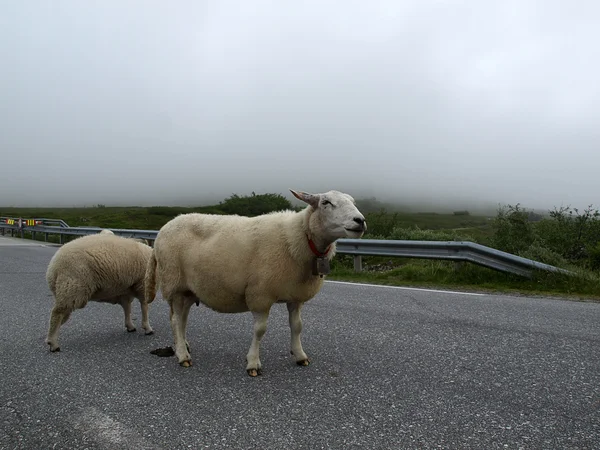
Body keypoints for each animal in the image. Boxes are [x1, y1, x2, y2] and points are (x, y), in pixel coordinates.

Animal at [145, 189, 366, 376]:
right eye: (325, 203)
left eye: (353, 202)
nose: (360, 221)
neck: (299, 238)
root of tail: (164, 229)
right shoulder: (260, 294)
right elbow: (260, 330)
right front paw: (253, 363)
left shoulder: (295, 295)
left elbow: (297, 326)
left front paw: (300, 355)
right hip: (174, 283)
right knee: (176, 321)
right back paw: (183, 355)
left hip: (189, 290)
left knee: (181, 319)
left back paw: (182, 346)